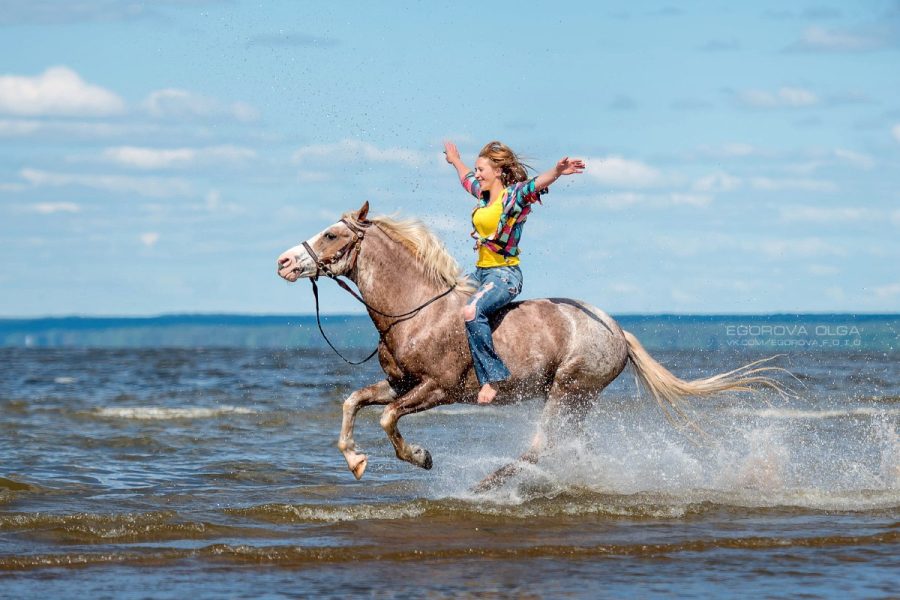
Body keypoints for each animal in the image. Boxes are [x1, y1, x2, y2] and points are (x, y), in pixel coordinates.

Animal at [276, 202, 781, 490]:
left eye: (332, 234)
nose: (284, 261)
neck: (416, 312)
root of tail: (617, 331)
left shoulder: (436, 389)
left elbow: (385, 419)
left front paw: (421, 458)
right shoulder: (399, 385)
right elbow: (353, 402)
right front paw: (356, 461)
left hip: (568, 389)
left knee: (542, 445)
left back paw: (486, 485)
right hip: (577, 400)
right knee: (569, 446)